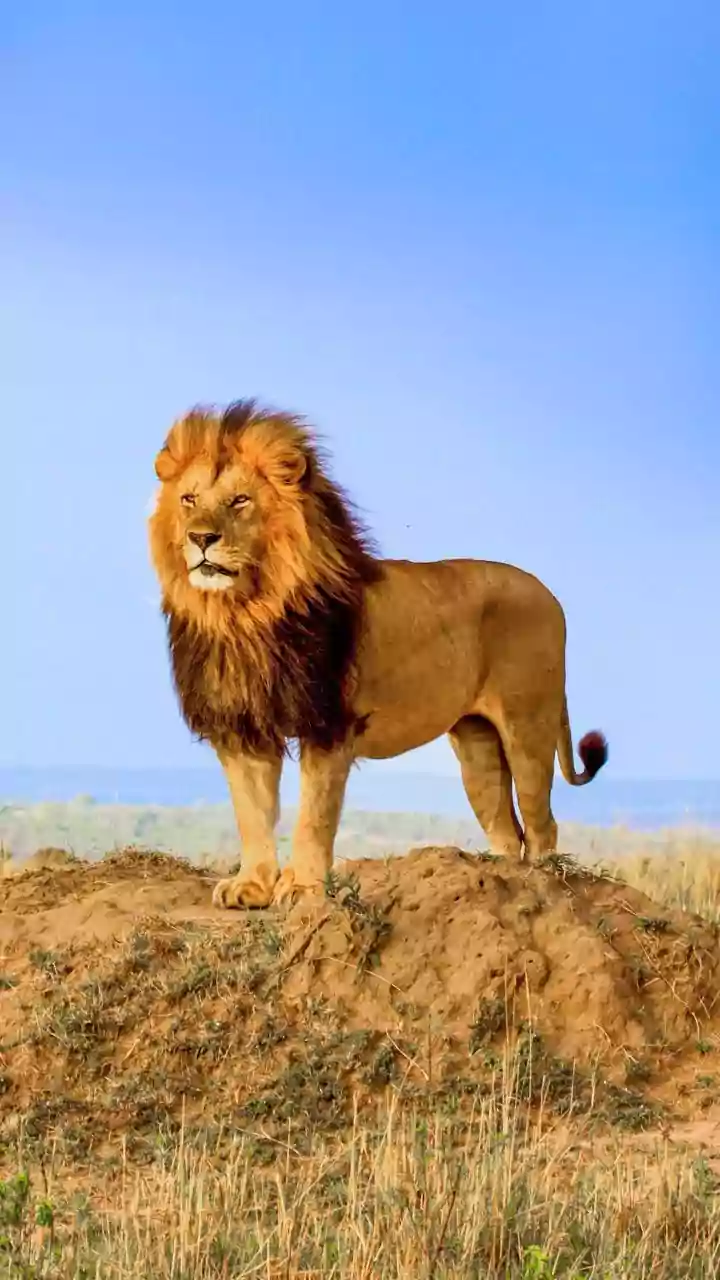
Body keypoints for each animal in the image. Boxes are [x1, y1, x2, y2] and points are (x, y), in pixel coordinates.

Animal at [148, 399, 607, 909]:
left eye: (240, 501)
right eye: (189, 500)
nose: (200, 538)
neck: (245, 615)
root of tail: (549, 592)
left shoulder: (329, 724)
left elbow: (314, 816)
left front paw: (303, 887)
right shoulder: (242, 728)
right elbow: (252, 813)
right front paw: (252, 886)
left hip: (528, 724)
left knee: (542, 824)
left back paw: (545, 889)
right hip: (478, 744)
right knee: (507, 830)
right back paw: (497, 888)